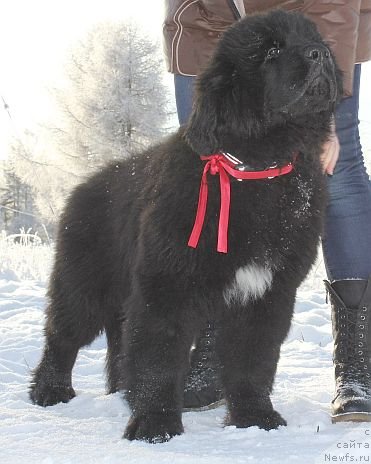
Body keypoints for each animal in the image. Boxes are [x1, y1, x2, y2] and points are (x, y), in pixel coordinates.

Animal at [30, 10, 342, 444]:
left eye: (315, 37)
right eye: (271, 51)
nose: (321, 53)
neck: (255, 169)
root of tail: (87, 184)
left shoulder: (268, 292)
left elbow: (254, 361)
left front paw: (254, 418)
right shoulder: (166, 285)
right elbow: (159, 357)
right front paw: (155, 425)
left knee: (115, 346)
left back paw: (119, 392)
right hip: (85, 285)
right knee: (62, 336)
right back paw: (50, 390)